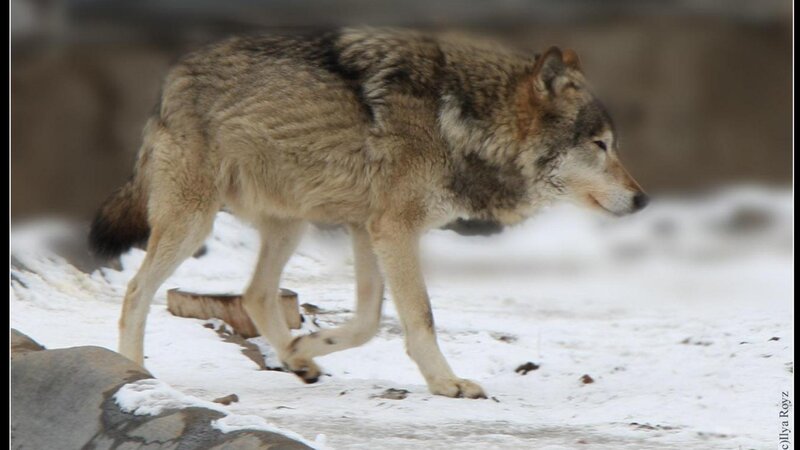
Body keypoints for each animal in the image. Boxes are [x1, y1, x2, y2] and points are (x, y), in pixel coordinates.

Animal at [89, 27, 648, 399]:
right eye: (600, 144)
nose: (642, 199)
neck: (460, 120)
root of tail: (172, 79)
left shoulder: (367, 229)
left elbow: (368, 321)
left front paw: (306, 349)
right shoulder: (394, 230)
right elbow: (419, 316)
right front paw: (446, 383)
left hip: (291, 225)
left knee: (255, 294)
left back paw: (297, 363)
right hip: (195, 221)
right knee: (136, 292)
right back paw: (135, 374)